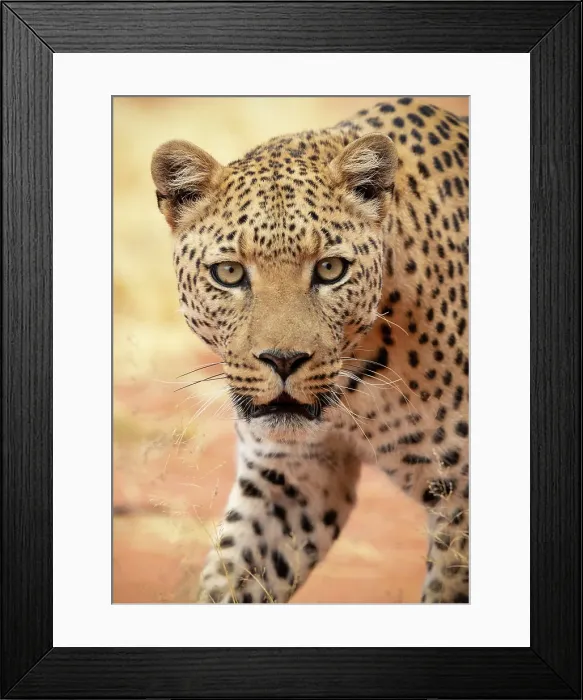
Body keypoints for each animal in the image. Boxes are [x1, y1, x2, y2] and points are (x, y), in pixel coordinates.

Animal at [150, 97, 469, 604]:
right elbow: (231, 580)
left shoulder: (462, 500)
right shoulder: (291, 479)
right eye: (229, 273)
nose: (283, 360)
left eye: (331, 269)